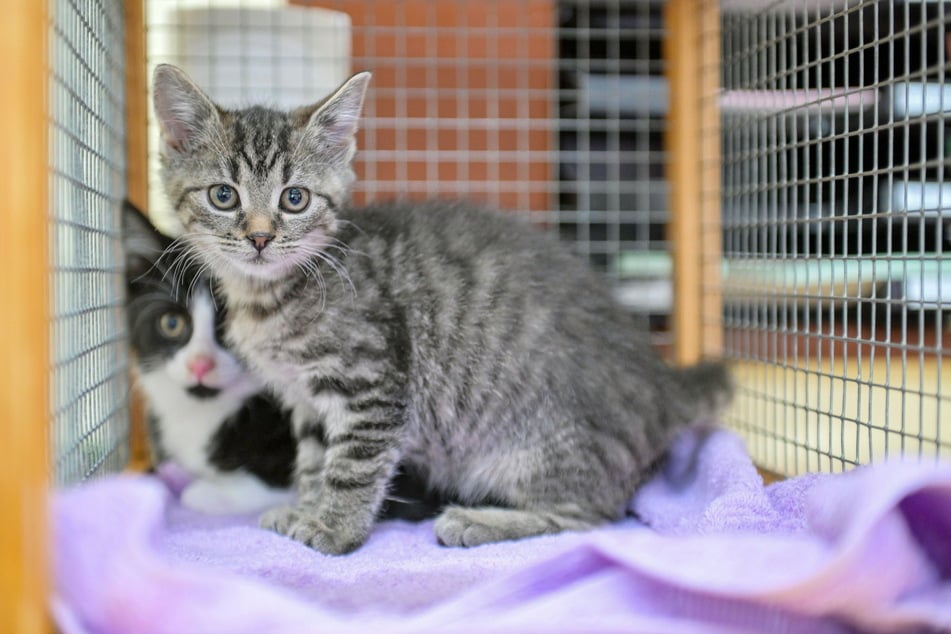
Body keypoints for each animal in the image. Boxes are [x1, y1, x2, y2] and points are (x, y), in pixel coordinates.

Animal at [151, 61, 736, 552]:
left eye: (294, 199)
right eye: (223, 195)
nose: (259, 238)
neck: (270, 295)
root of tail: (662, 386)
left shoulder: (373, 381)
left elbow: (354, 464)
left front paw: (335, 528)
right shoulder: (307, 401)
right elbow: (316, 461)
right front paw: (306, 508)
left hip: (542, 448)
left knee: (594, 517)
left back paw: (479, 521)